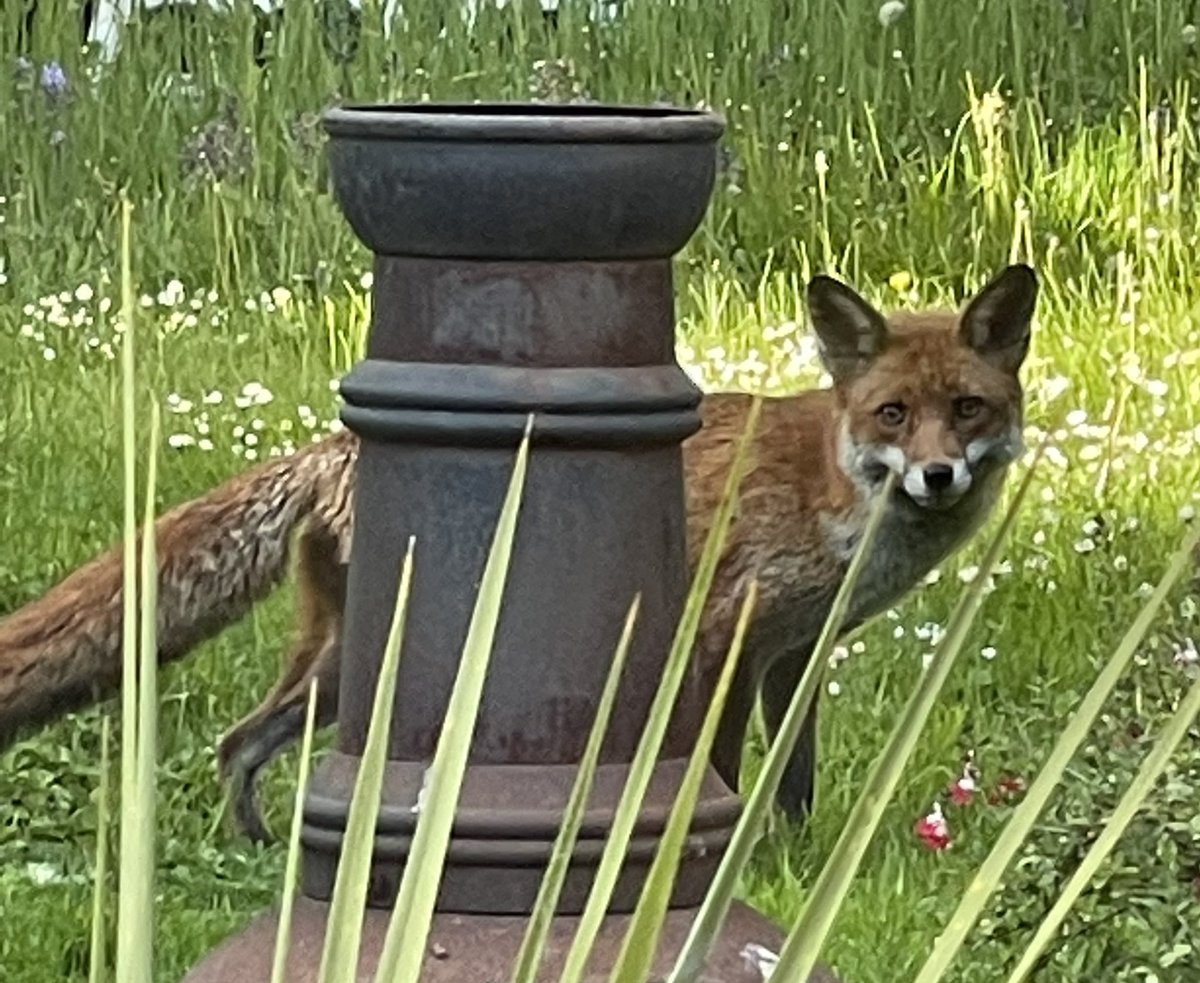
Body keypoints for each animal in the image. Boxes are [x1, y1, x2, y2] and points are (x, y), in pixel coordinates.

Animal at [0, 264, 1038, 844]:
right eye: (894, 414)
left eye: (968, 409)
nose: (938, 475)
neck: (835, 499)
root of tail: (338, 443)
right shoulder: (723, 638)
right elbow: (724, 770)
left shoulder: (797, 653)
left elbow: (796, 783)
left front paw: (794, 859)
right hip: (394, 665)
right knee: (246, 743)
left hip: (340, 671)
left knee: (237, 742)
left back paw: (262, 857)